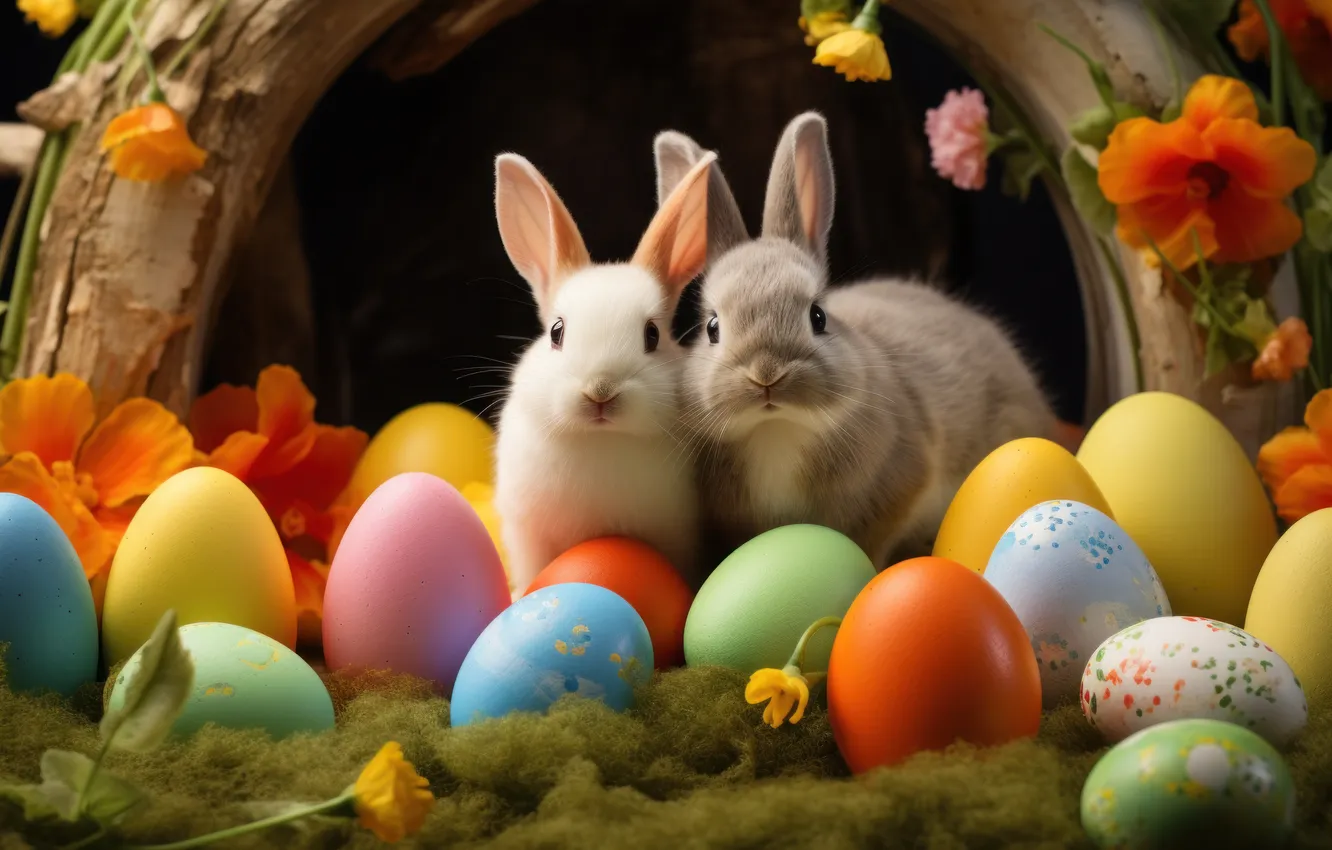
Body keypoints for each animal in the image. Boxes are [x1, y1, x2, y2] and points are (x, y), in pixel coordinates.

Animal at [490, 149, 716, 593]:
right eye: (557, 332)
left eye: (652, 335)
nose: (600, 390)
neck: (601, 439)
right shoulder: (527, 535)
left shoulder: (677, 538)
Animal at [653, 112, 1058, 571]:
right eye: (712, 328)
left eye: (818, 316)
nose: (766, 375)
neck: (776, 429)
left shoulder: (900, 484)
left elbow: (869, 547)